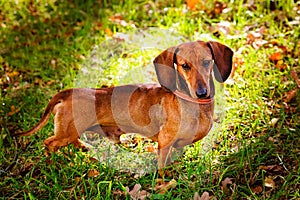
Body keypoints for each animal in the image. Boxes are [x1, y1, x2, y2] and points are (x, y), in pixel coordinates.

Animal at [14, 40, 233, 167]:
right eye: (185, 66)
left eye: (207, 62)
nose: (202, 93)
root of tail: (68, 92)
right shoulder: (164, 141)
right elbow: (162, 166)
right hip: (65, 132)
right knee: (49, 142)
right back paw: (51, 161)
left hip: (71, 130)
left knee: (72, 140)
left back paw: (84, 148)